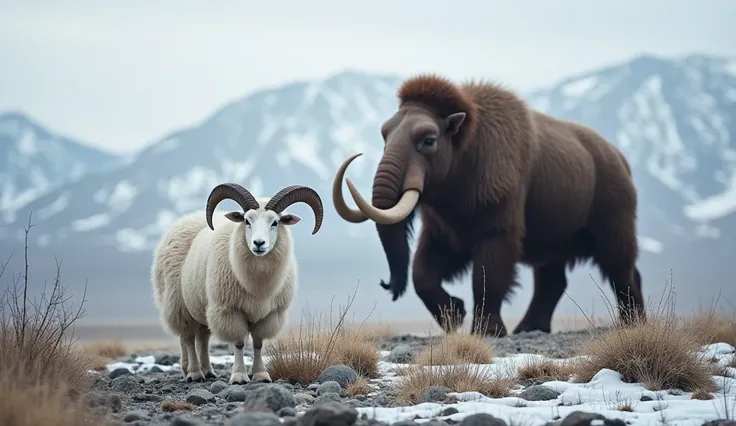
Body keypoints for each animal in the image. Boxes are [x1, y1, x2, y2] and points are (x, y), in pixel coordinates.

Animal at [152, 182, 322, 382]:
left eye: (275, 222)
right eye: (247, 221)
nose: (258, 243)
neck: (257, 285)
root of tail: (188, 218)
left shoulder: (269, 315)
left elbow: (258, 344)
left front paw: (260, 374)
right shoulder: (229, 310)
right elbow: (239, 343)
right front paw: (239, 376)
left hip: (203, 307)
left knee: (202, 338)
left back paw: (206, 370)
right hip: (179, 305)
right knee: (187, 338)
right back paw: (194, 372)